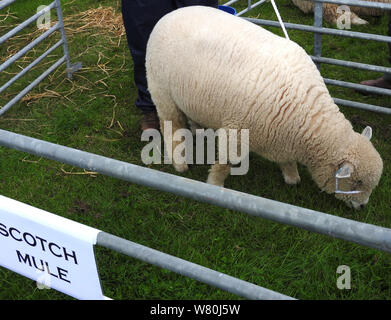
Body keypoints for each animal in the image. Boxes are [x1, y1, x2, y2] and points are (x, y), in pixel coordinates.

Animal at [145, 6, 384, 210]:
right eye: (357, 181)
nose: (363, 207)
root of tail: (169, 14)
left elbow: (287, 162)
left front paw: (292, 177)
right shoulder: (236, 132)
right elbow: (224, 163)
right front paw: (214, 186)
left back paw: (197, 129)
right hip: (161, 90)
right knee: (171, 126)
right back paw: (179, 162)